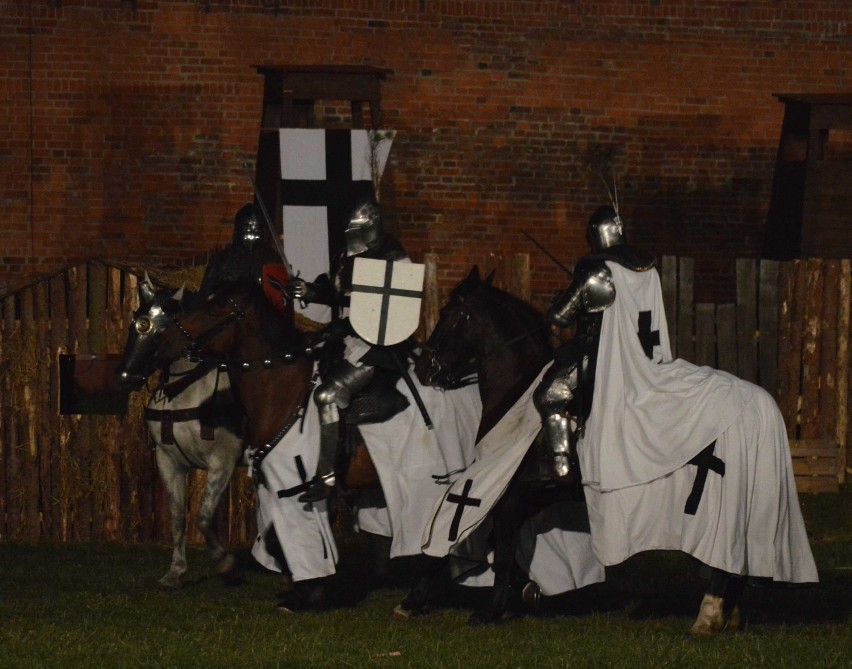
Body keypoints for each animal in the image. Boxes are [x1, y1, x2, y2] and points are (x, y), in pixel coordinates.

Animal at [398, 268, 584, 628]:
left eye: (450, 315)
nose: (424, 369)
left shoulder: (503, 493)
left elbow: (500, 553)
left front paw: (491, 610)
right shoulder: (520, 496)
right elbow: (497, 546)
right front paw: (526, 590)